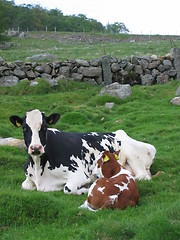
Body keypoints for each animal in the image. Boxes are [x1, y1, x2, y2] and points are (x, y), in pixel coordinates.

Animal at [9, 109, 156, 195]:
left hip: (133, 156)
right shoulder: (28, 178)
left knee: (142, 176)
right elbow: (25, 186)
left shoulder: (79, 174)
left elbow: (68, 189)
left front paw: (87, 188)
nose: (35, 148)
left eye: (44, 127)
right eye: (24, 128)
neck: (39, 167)